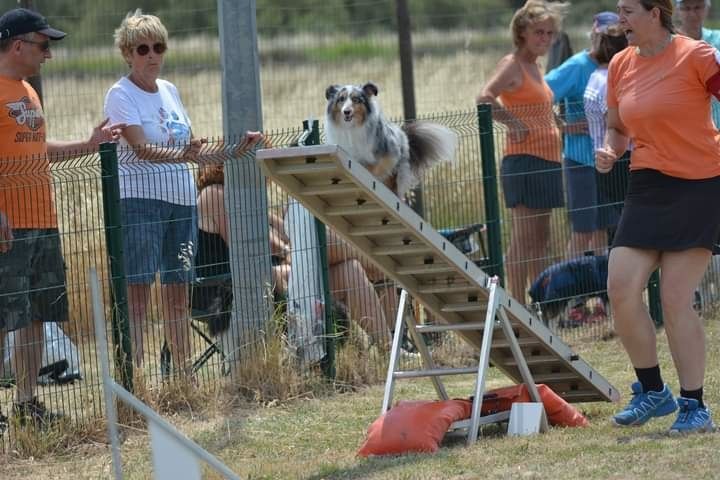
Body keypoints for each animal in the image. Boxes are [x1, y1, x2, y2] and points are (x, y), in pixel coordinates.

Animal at [324, 82, 456, 199]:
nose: (346, 111)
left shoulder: (388, 154)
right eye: (341, 99)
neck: (351, 127)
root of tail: (403, 134)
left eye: (356, 100)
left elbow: (373, 168)